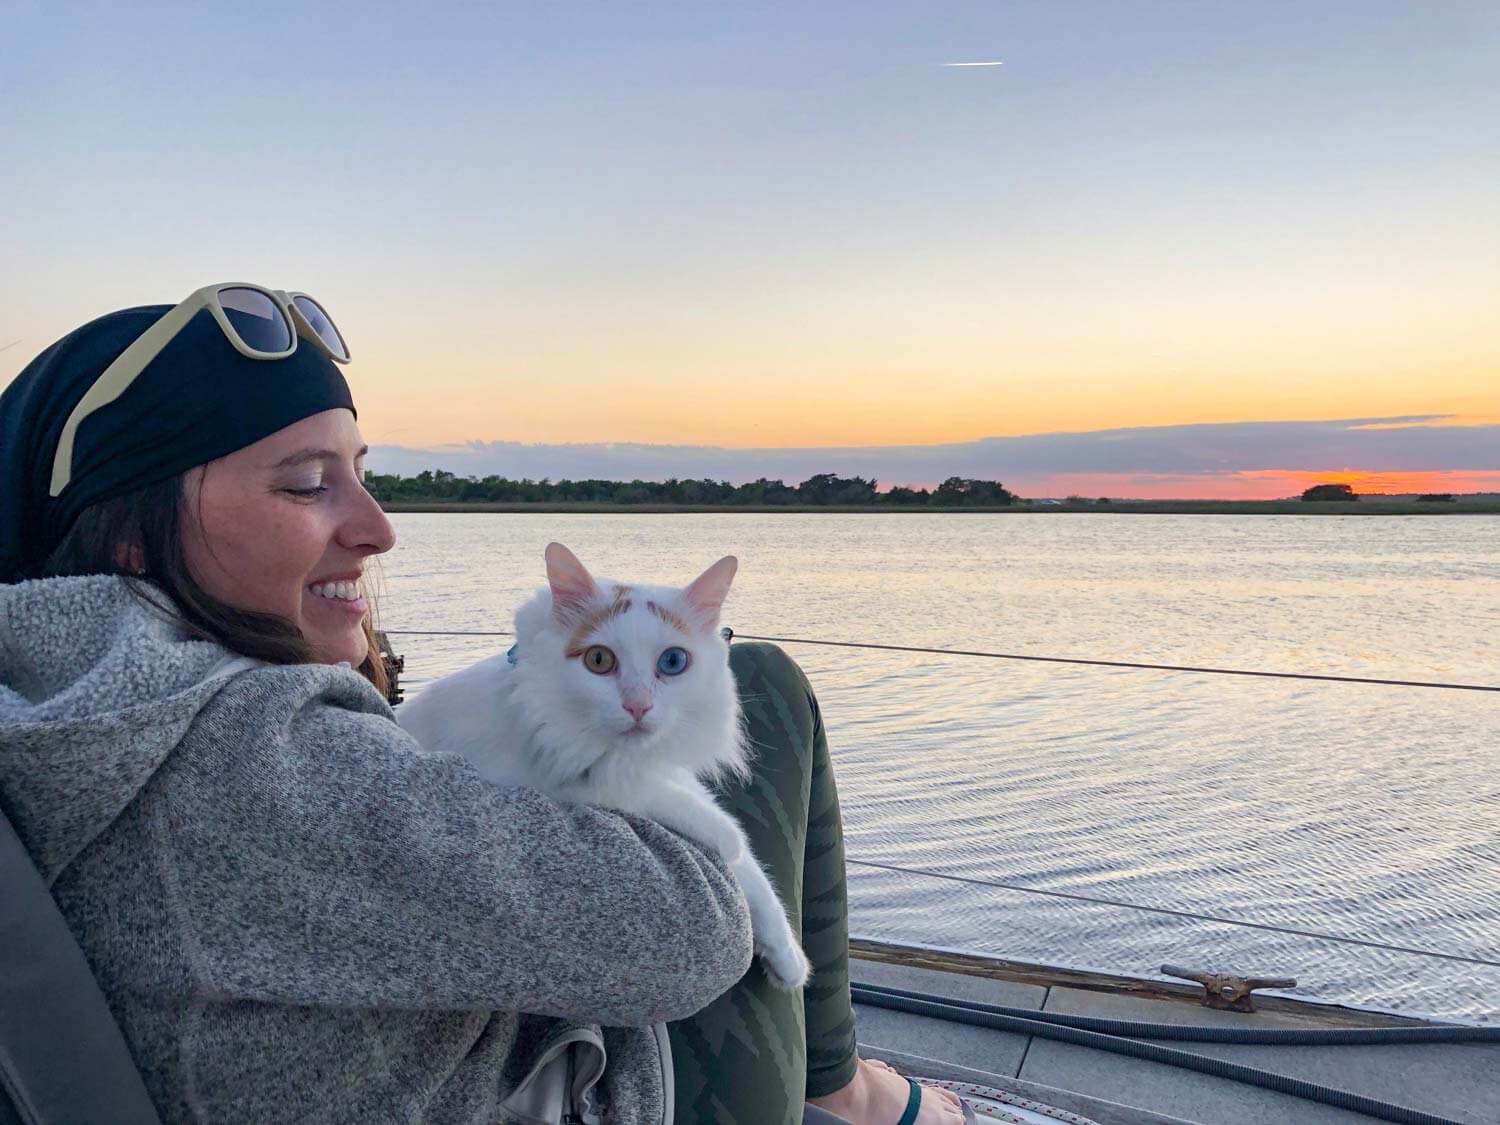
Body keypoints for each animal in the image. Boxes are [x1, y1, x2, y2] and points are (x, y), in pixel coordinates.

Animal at [399, 543, 816, 990]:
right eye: (598, 660)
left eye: (673, 662)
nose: (638, 706)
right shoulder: (552, 779)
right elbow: (666, 802)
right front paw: (727, 837)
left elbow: (755, 875)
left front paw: (789, 960)